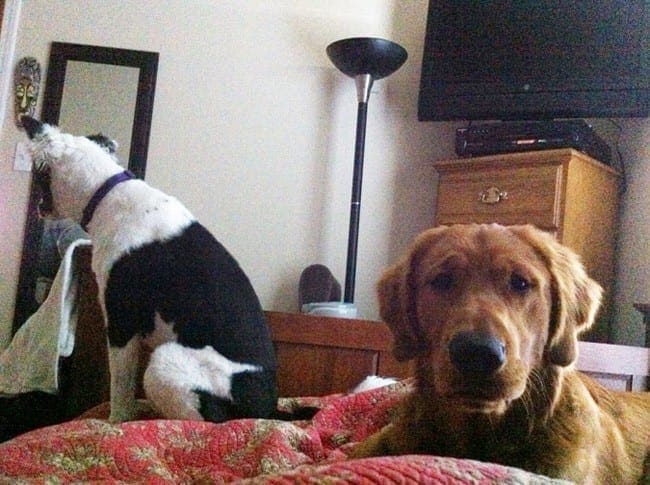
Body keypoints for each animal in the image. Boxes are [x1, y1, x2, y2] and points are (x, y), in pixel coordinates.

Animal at [21, 118, 280, 424]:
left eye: (39, 177)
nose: (37, 209)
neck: (107, 192)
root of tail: (268, 409)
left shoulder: (121, 326)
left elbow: (120, 391)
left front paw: (116, 423)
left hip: (164, 363)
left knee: (203, 421)